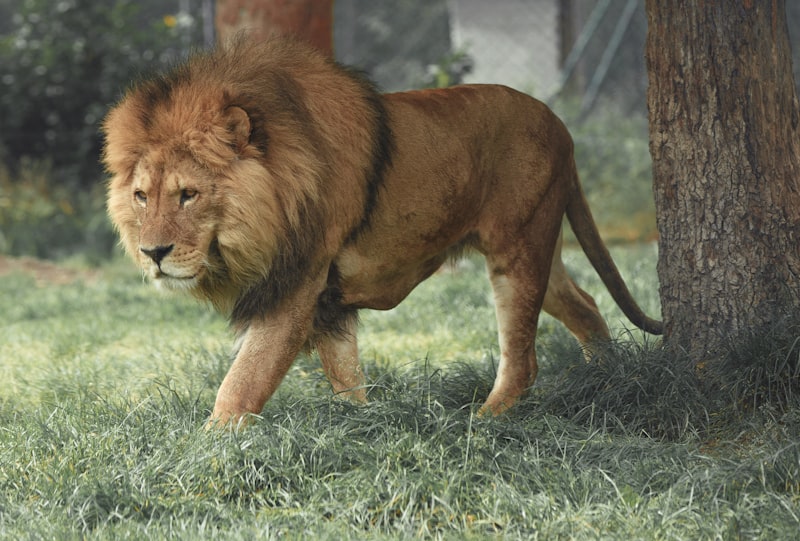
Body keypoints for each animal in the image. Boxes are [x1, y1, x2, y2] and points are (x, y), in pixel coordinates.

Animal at [103, 36, 662, 425]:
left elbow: (243, 381)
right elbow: (345, 376)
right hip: (539, 243)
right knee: (584, 303)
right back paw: (607, 379)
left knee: (522, 359)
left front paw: (207, 448)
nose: (153, 253)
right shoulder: (326, 300)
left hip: (518, 247)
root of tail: (560, 125)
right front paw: (365, 425)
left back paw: (481, 424)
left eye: (188, 194)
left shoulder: (296, 285)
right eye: (141, 196)